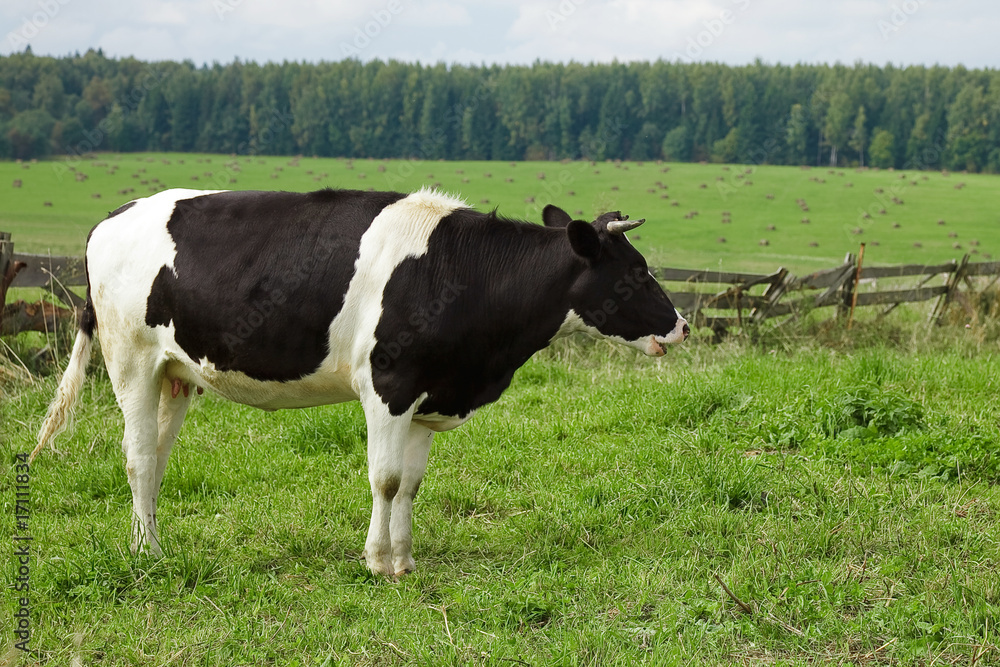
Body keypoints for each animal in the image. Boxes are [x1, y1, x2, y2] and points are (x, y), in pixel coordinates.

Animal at [33, 187, 689, 577]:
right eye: (636, 271)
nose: (682, 325)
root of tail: (111, 218)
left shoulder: (427, 396)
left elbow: (412, 485)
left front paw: (404, 560)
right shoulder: (388, 386)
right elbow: (386, 478)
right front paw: (377, 562)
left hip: (176, 374)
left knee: (158, 459)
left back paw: (152, 541)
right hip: (131, 361)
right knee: (139, 457)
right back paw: (149, 554)